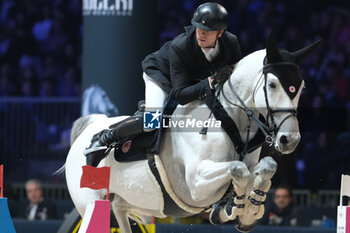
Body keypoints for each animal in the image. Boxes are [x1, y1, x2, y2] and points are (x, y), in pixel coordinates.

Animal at [64, 33, 322, 233]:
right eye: (272, 85)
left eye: (300, 87)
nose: (289, 140)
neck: (229, 117)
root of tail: (89, 129)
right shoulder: (196, 185)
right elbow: (239, 169)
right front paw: (236, 206)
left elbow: (265, 166)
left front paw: (247, 210)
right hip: (91, 205)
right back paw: (98, 144)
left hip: (120, 205)